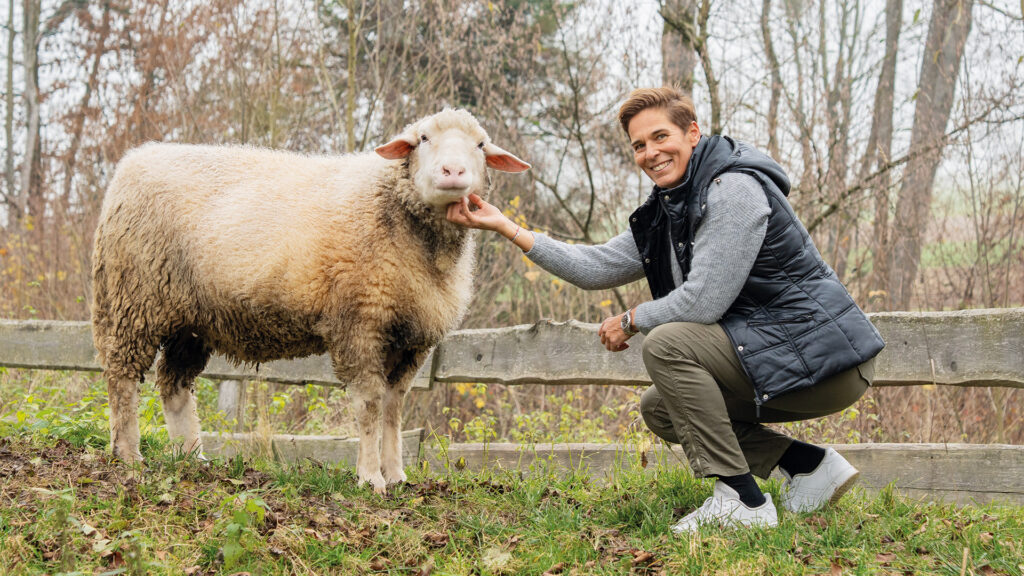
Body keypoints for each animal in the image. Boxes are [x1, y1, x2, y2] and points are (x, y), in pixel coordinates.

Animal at [90, 109, 530, 492]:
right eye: (423, 139)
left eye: (480, 144)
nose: (453, 172)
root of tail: (131, 162)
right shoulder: (359, 323)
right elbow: (370, 405)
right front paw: (370, 478)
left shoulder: (411, 339)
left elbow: (394, 407)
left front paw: (397, 475)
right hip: (135, 298)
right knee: (122, 375)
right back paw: (129, 456)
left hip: (191, 319)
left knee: (175, 383)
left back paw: (191, 457)